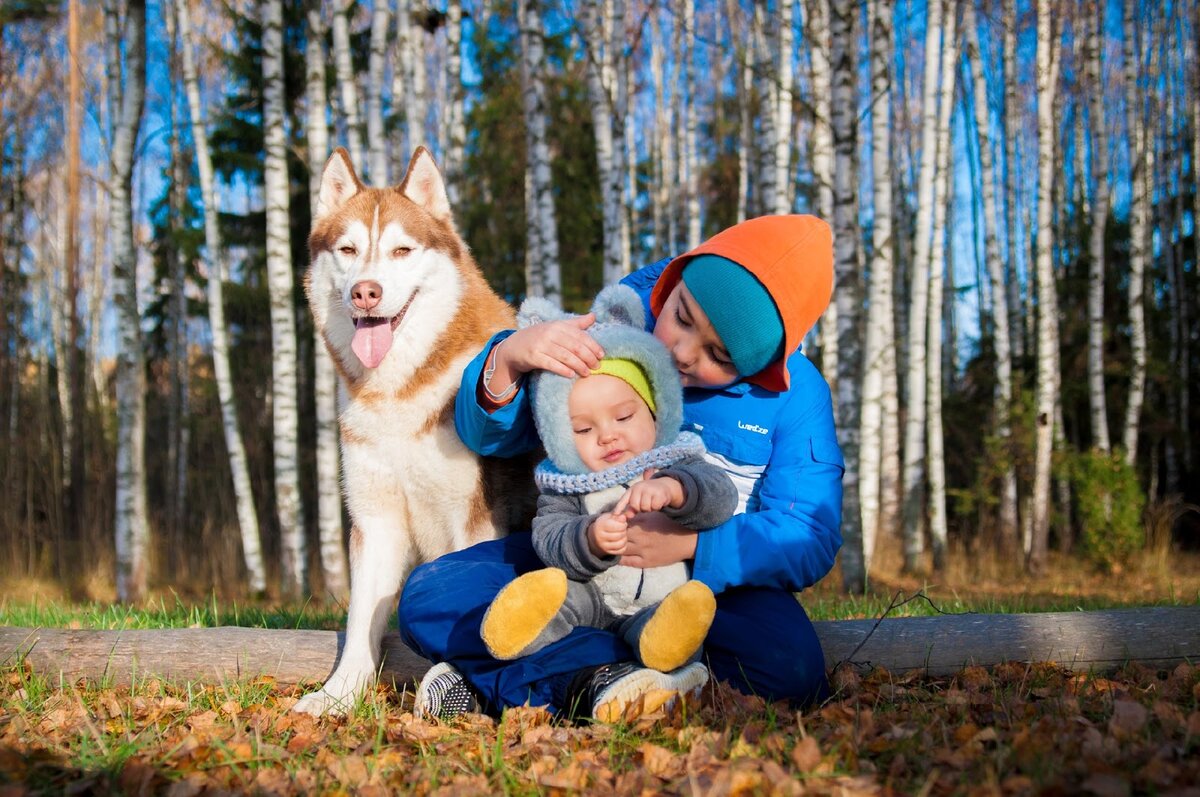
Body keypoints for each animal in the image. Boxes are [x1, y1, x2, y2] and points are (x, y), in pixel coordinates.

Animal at [292, 149, 532, 715]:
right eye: (348, 250)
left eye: (402, 250)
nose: (366, 291)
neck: (397, 393)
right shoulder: (374, 518)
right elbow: (362, 618)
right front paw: (339, 696)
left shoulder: (473, 519)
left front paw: (458, 679)